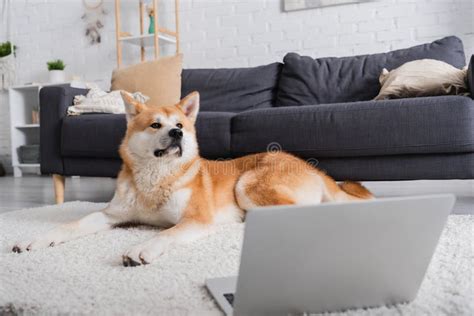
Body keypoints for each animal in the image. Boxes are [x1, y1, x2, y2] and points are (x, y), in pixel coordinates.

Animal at [11, 91, 372, 266]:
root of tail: (313, 168)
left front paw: (142, 248)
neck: (156, 179)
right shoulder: (111, 215)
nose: (176, 133)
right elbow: (70, 225)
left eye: (180, 125)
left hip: (247, 185)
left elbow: (167, 234)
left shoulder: (195, 218)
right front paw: (35, 240)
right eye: (155, 124)